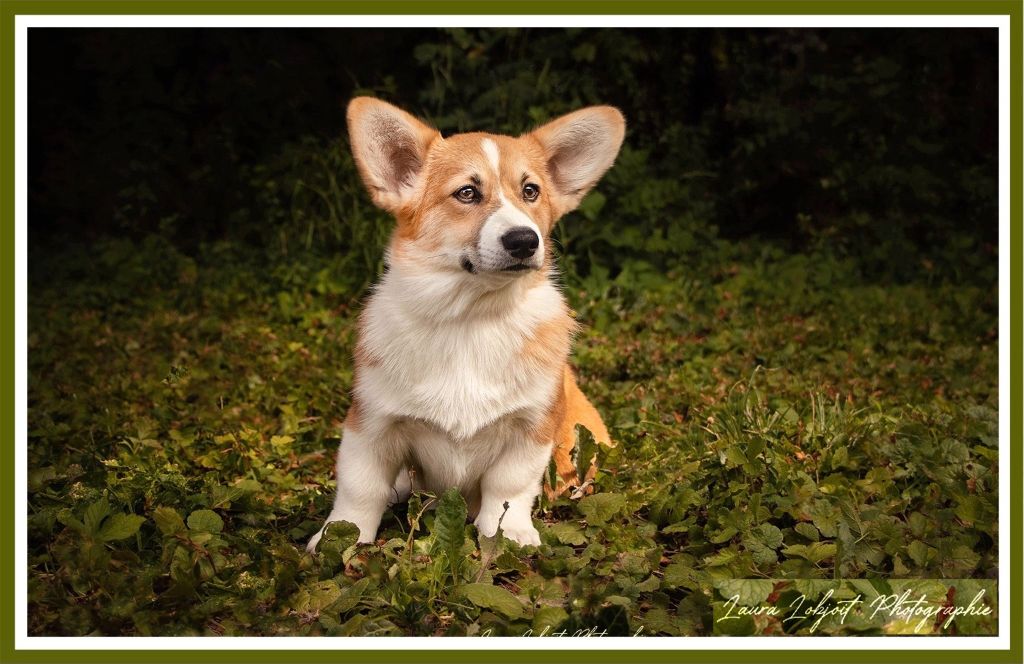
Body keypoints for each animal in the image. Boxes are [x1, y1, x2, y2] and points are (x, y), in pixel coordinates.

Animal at [305, 94, 622, 549]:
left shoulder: (530, 429)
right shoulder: (372, 425)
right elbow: (358, 488)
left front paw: (508, 533)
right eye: (467, 193)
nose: (525, 240)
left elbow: (509, 487)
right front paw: (339, 537)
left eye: (531, 191)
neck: (472, 316)